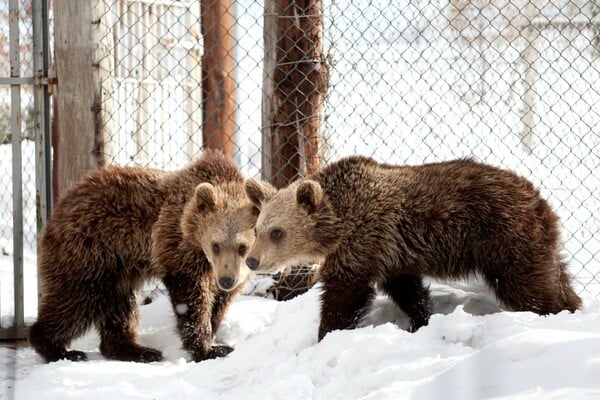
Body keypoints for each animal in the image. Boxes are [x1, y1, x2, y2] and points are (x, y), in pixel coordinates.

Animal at [29, 150, 262, 362]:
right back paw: (59, 349)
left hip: (118, 268)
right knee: (76, 299)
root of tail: (61, 204)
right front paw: (209, 349)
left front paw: (214, 333)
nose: (226, 280)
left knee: (120, 306)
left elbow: (219, 303)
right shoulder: (176, 244)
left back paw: (136, 350)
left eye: (242, 247)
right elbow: (192, 296)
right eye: (216, 245)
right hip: (90, 251)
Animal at [244, 156, 580, 340]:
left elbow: (346, 294)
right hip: (536, 241)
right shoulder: (391, 254)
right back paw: (573, 304)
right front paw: (421, 320)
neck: (337, 224)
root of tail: (540, 200)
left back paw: (551, 313)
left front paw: (327, 332)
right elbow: (407, 290)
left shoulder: (362, 242)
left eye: (277, 232)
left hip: (505, 236)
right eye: (257, 229)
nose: (251, 261)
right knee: (555, 275)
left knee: (527, 286)